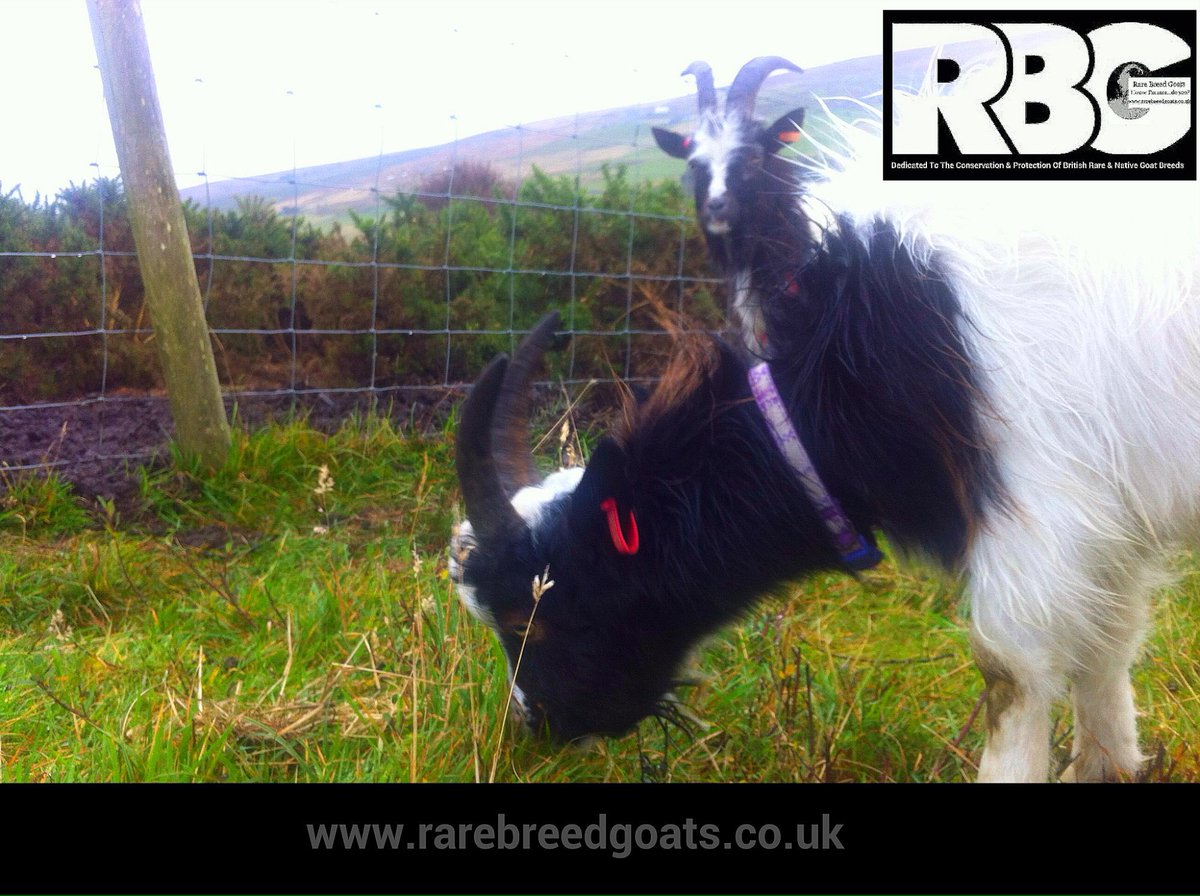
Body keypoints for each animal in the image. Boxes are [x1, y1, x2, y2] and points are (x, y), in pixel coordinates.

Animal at [451, 58, 1200, 782]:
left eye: (531, 613)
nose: (537, 727)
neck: (870, 344)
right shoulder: (1110, 520)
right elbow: (1107, 641)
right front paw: (1109, 764)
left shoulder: (1035, 501)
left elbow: (1010, 670)